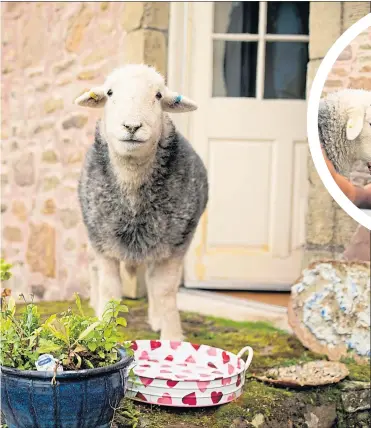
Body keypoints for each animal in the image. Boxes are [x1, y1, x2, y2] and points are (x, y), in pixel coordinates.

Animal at [75, 63, 209, 340]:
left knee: (153, 281)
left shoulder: (176, 244)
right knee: (94, 270)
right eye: (110, 93)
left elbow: (165, 291)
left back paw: (156, 318)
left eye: (158, 96)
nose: (132, 126)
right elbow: (110, 289)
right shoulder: (103, 244)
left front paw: (172, 337)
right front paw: (101, 330)